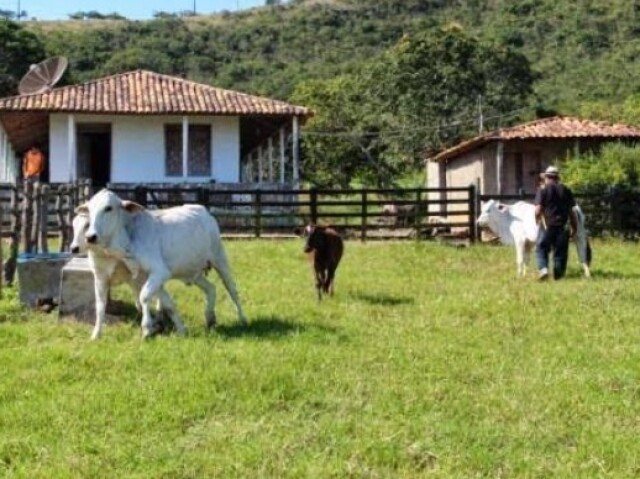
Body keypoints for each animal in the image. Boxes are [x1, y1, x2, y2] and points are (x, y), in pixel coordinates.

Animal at [78, 189, 248, 340]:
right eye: (89, 210)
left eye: (108, 208)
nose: (91, 237)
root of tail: (205, 211)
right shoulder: (104, 279)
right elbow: (101, 307)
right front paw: (95, 335)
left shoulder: (159, 272)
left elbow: (144, 297)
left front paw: (147, 328)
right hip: (193, 273)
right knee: (211, 289)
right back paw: (210, 318)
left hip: (220, 259)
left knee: (232, 290)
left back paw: (243, 319)